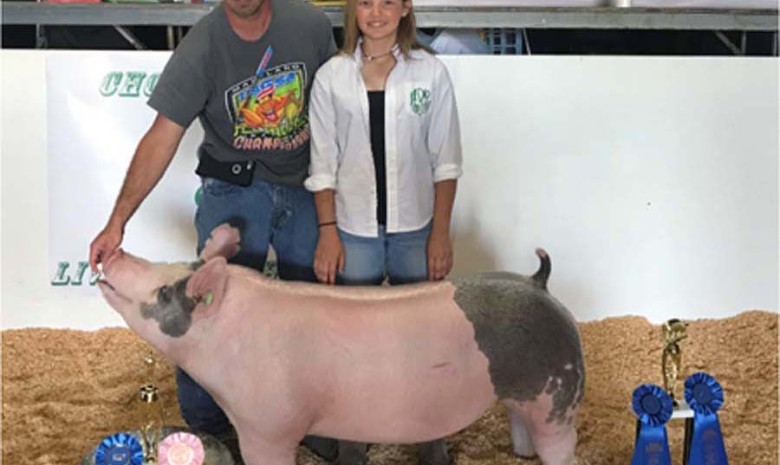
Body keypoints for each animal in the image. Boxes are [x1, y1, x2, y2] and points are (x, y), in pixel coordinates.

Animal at [97, 223, 584, 462]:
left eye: (164, 292)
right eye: (173, 264)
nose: (112, 252)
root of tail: (538, 283)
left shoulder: (269, 425)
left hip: (560, 393)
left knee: (561, 443)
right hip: (524, 394)